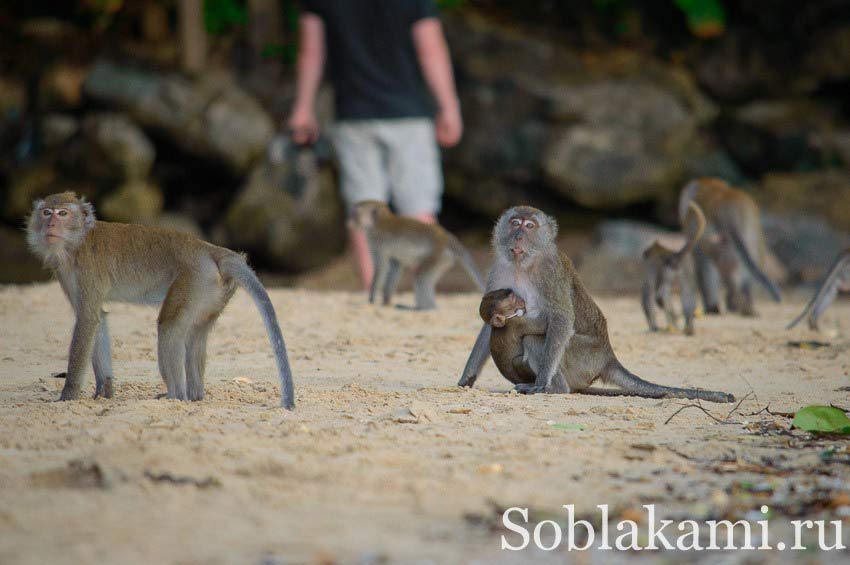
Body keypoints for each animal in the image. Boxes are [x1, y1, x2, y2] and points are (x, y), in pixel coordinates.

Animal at [26, 192, 296, 408]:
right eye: (47, 212)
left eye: (63, 213)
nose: (50, 223)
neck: (78, 241)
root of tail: (210, 250)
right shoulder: (66, 272)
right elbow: (97, 319)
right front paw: (104, 391)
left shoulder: (86, 269)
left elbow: (87, 320)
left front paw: (68, 395)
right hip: (212, 292)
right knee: (195, 335)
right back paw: (195, 396)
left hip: (194, 279)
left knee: (169, 327)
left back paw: (176, 396)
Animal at [350, 200, 484, 310]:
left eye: (356, 214)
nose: (349, 221)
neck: (379, 222)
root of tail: (445, 238)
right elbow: (394, 266)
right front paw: (386, 301)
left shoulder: (376, 242)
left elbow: (381, 269)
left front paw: (371, 300)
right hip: (444, 261)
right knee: (425, 279)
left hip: (436, 256)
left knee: (420, 277)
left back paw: (424, 308)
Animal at [640, 202, 704, 334]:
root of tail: (673, 255)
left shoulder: (651, 266)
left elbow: (649, 293)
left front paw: (654, 326)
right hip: (685, 267)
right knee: (686, 292)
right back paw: (688, 328)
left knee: (659, 295)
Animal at [680, 178, 780, 316]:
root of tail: (727, 205)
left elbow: (704, 266)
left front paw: (711, 307)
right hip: (751, 232)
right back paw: (746, 305)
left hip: (714, 237)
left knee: (722, 267)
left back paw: (730, 303)